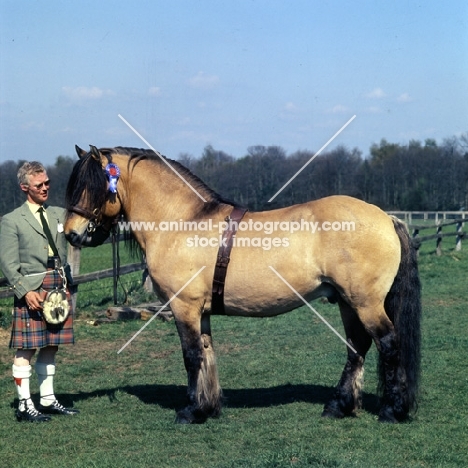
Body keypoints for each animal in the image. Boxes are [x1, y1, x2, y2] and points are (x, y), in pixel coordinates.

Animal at [65, 144, 420, 424]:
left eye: (93, 185)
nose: (71, 233)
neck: (183, 222)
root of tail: (386, 217)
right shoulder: (200, 311)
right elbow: (207, 352)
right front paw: (208, 407)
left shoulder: (184, 307)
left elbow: (191, 355)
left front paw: (190, 411)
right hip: (348, 302)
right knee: (357, 346)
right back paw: (340, 406)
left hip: (365, 303)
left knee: (388, 343)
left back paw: (392, 410)